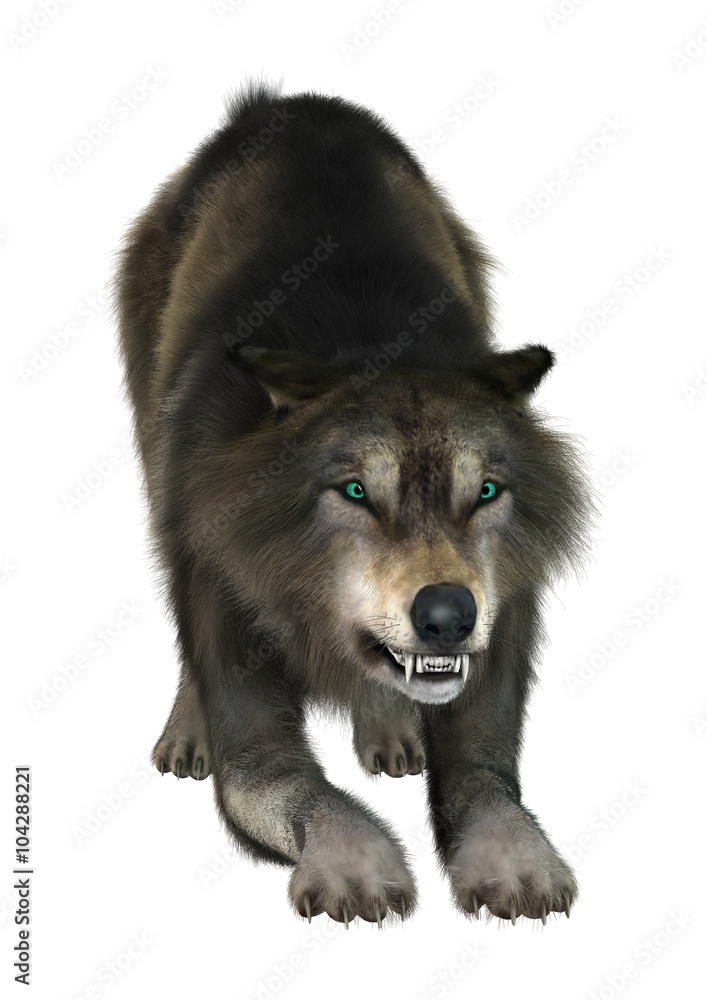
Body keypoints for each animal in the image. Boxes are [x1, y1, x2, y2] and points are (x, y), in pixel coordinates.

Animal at [115, 82, 596, 928]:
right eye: (354, 492)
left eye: (484, 492)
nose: (449, 615)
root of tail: (291, 101)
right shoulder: (240, 675)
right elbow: (297, 790)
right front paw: (355, 868)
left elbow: (487, 786)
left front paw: (516, 861)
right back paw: (186, 732)